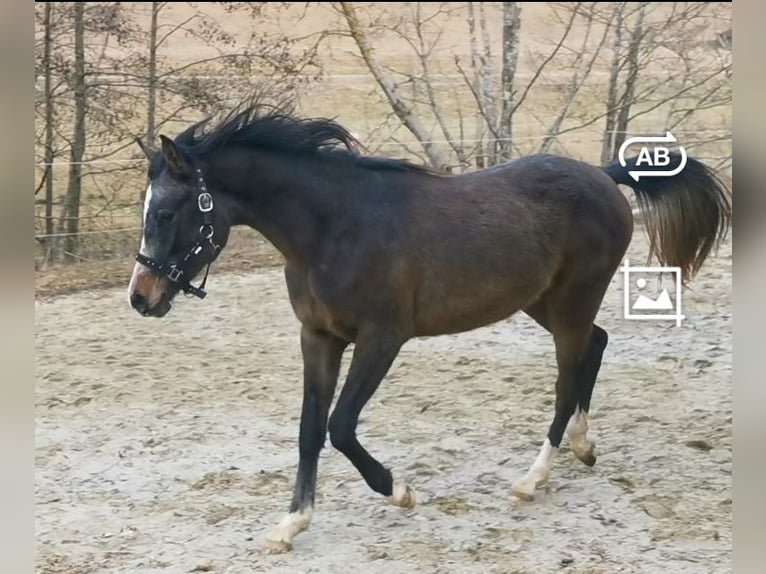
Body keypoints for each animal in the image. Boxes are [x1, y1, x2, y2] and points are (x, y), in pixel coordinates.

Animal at [126, 101, 732, 556]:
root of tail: (603, 175)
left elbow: (340, 426)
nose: (140, 297)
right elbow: (309, 429)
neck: (333, 229)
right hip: (543, 301)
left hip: (571, 302)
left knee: (566, 380)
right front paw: (291, 524)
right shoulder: (318, 338)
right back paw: (584, 448)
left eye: (166, 213)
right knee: (596, 346)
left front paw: (399, 491)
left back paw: (532, 478)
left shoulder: (381, 339)